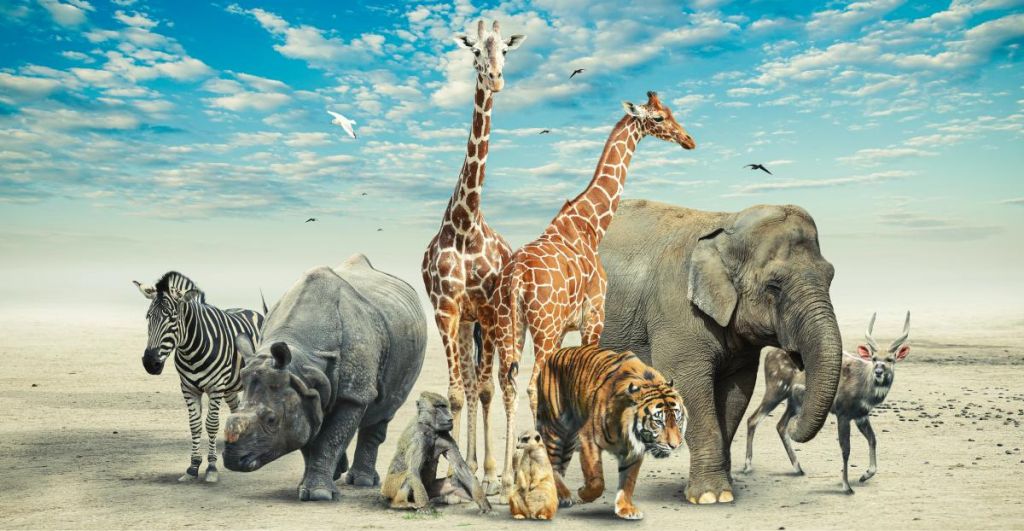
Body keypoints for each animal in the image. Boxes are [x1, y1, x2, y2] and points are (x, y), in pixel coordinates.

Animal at [222, 254, 427, 502]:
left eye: (271, 420)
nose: (233, 460)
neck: (302, 357)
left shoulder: (353, 393)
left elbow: (329, 439)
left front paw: (318, 494)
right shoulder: (302, 386)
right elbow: (309, 435)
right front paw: (305, 487)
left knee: (384, 408)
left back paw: (362, 481)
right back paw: (339, 473)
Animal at [598, 199, 843, 504]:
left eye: (831, 277)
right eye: (774, 285)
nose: (794, 421)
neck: (726, 223)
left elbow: (736, 394)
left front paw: (726, 490)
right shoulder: (677, 315)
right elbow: (689, 388)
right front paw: (710, 497)